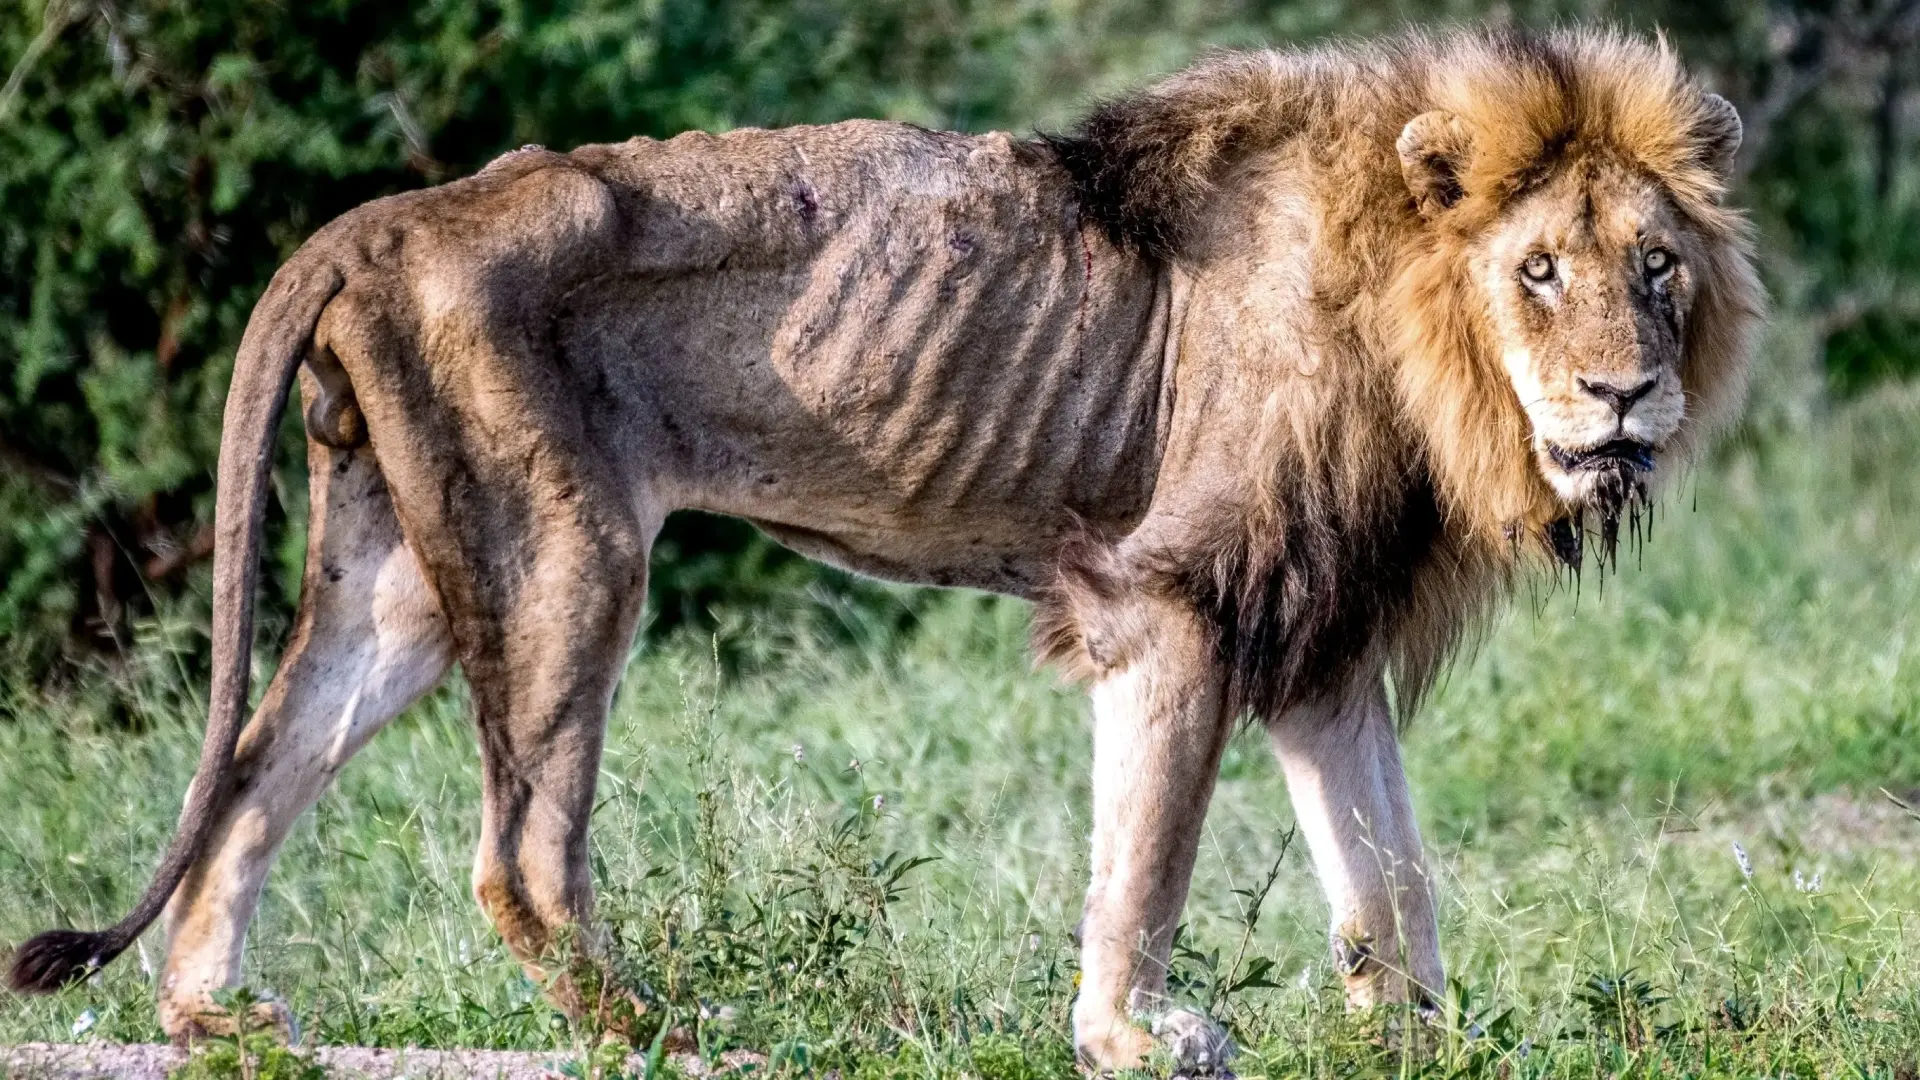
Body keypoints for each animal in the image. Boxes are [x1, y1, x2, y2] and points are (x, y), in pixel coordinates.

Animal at [7, 25, 1758, 1068]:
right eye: (1538, 270)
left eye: (1656, 265)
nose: (1625, 394)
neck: (1412, 321)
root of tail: (378, 221)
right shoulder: (1173, 600)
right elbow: (1148, 862)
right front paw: (1133, 1033)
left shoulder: (1315, 630)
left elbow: (1391, 882)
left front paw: (1421, 1041)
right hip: (569, 552)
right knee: (519, 857)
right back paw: (678, 1025)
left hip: (400, 583)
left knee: (255, 766)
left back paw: (220, 1013)